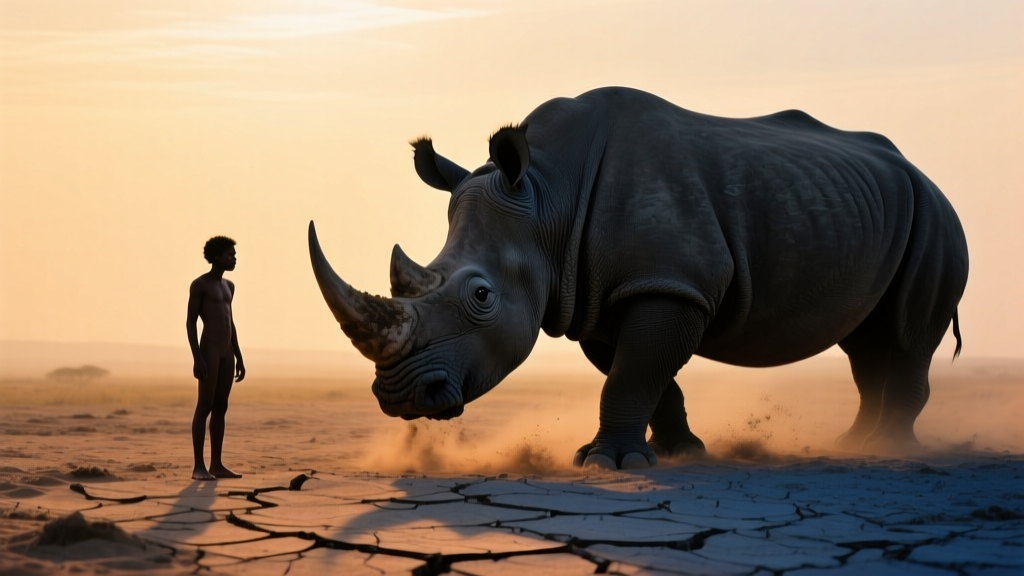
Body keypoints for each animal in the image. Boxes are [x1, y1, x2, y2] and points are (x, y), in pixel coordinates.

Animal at [309, 87, 968, 469]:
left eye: (480, 296)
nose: (400, 398)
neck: (547, 198)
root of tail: (918, 170)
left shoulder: (667, 283)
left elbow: (634, 373)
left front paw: (607, 465)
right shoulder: (599, 294)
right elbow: (644, 375)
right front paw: (677, 453)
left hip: (935, 217)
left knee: (907, 337)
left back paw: (886, 450)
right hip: (876, 209)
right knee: (866, 343)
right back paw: (853, 444)